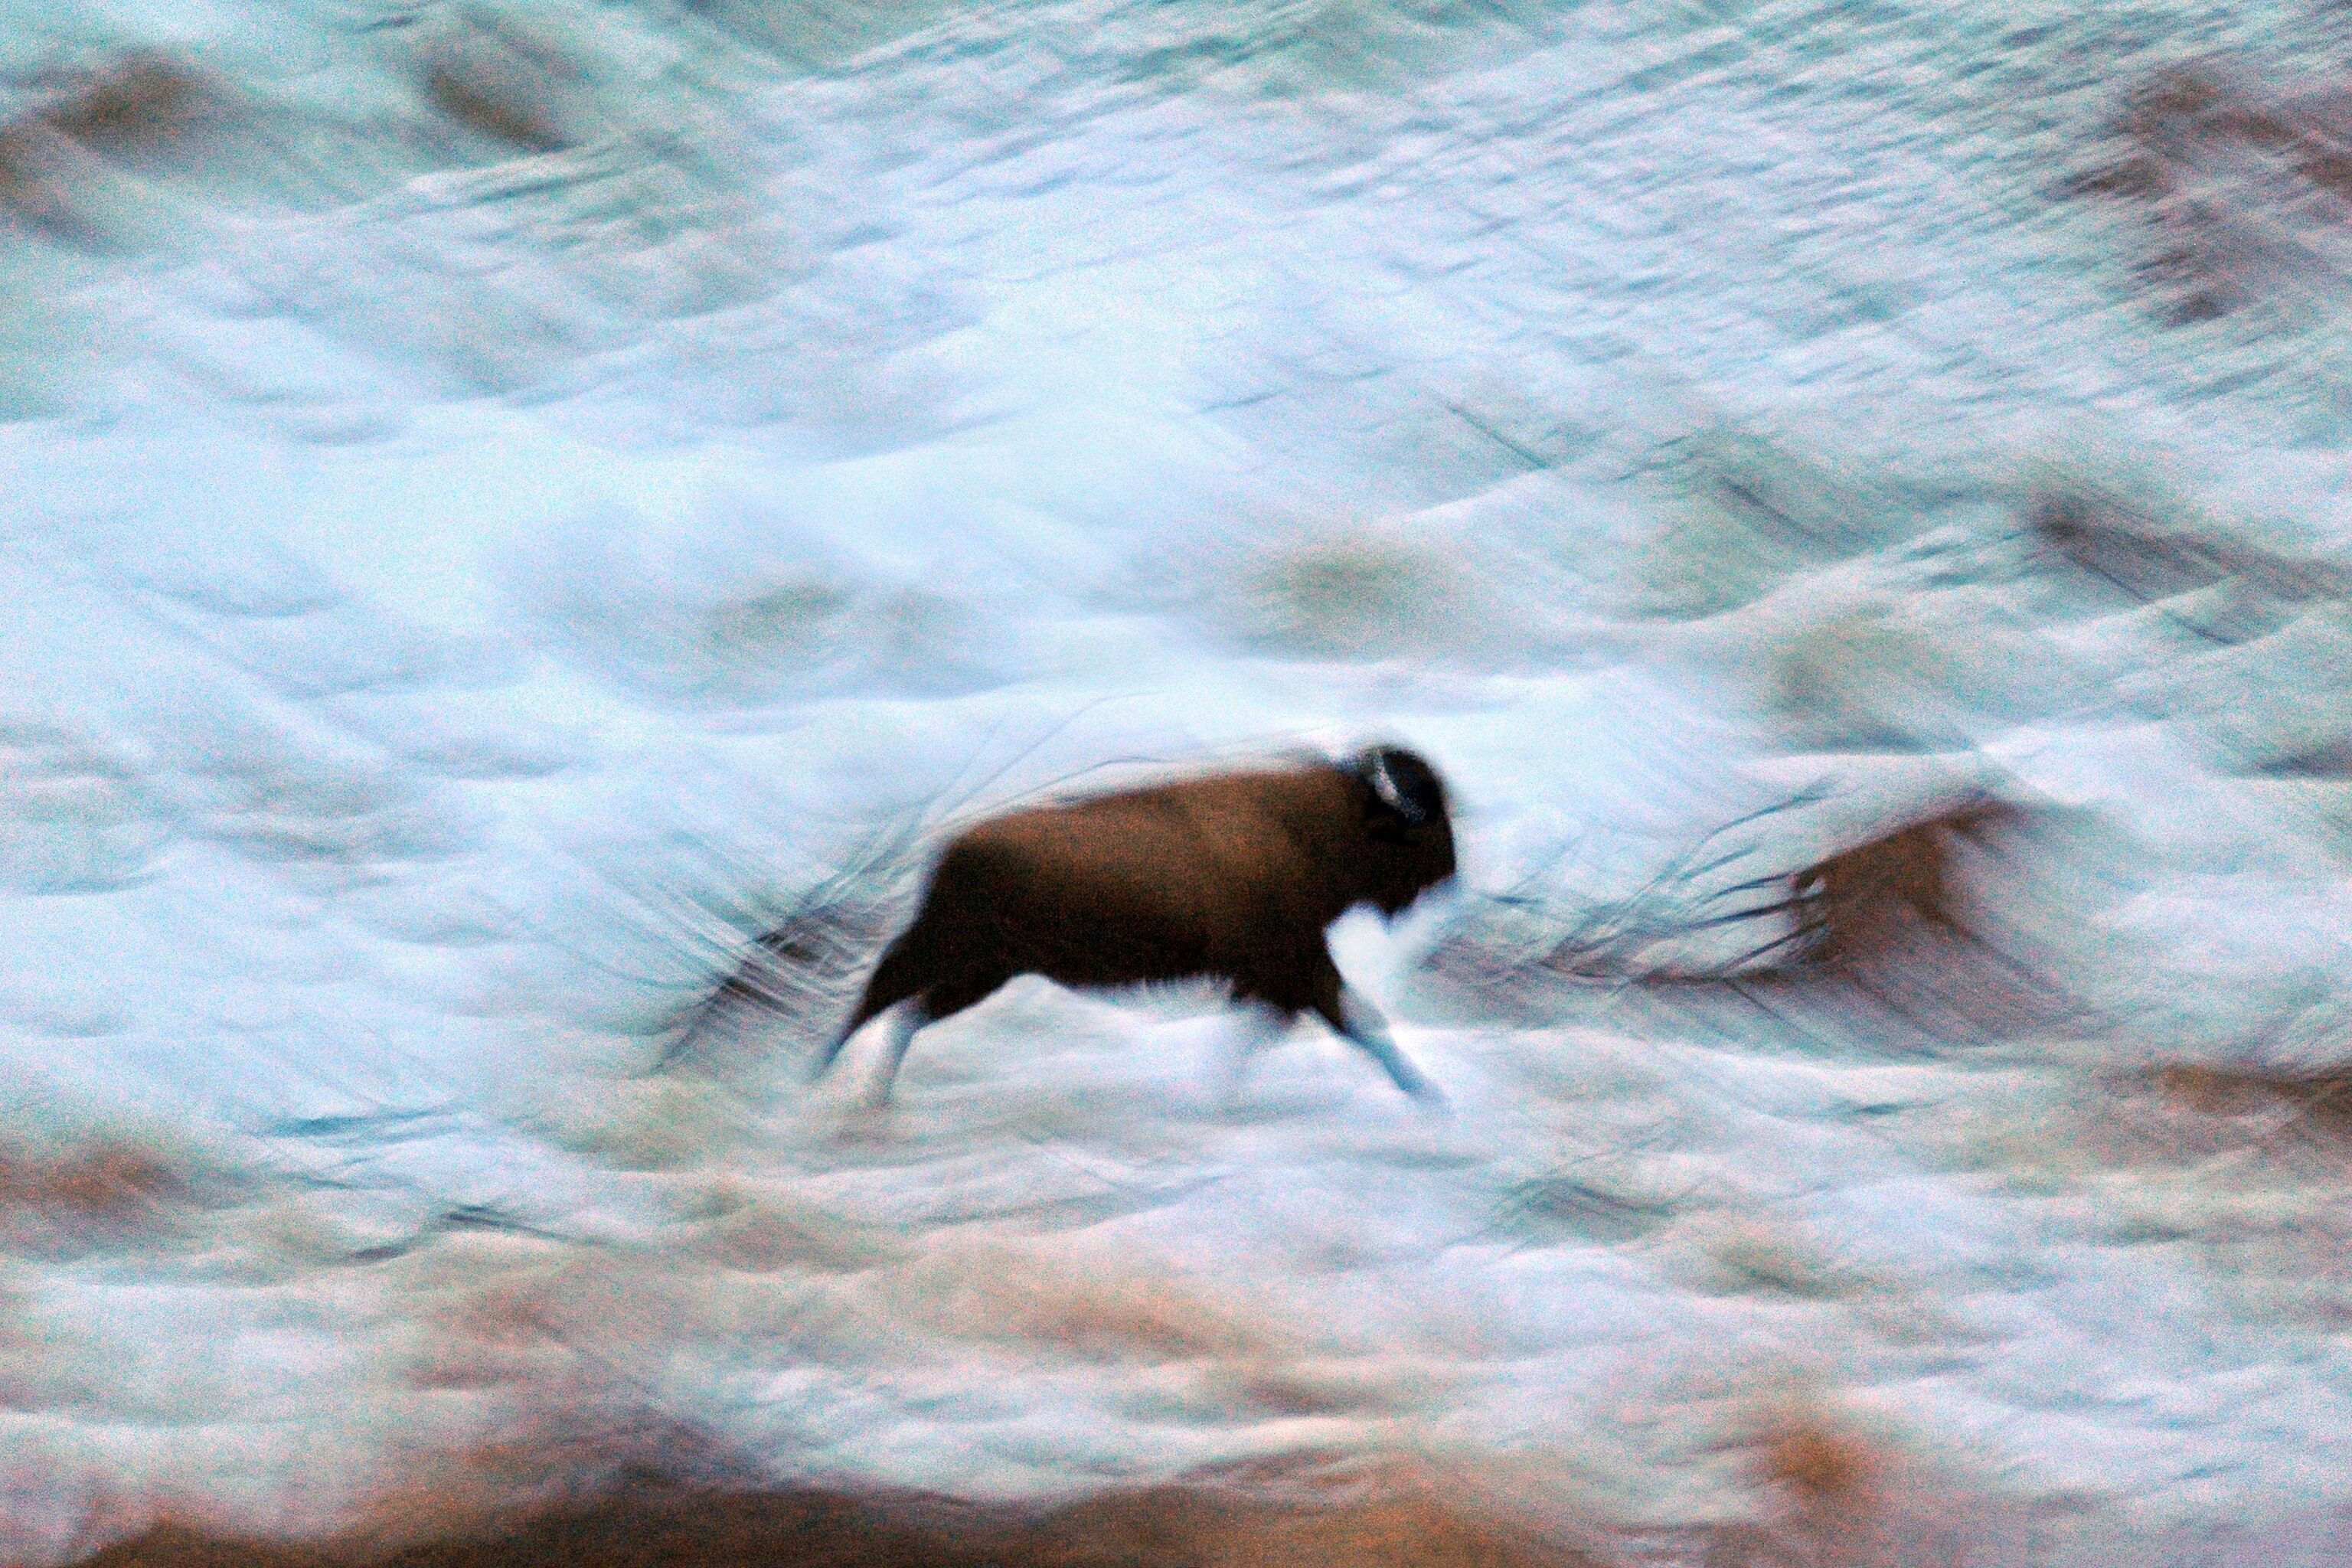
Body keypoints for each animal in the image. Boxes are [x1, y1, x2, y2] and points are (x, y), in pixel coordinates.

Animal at [816, 745, 1459, 1105]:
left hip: (985, 972)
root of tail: (950, 851)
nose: (1451, 873)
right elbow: (1360, 1021)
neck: (1312, 826)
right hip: (955, 953)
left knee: (909, 1009)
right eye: (1422, 828)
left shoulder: (1284, 974)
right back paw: (823, 1081)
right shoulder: (1295, 966)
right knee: (883, 994)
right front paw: (1431, 1096)